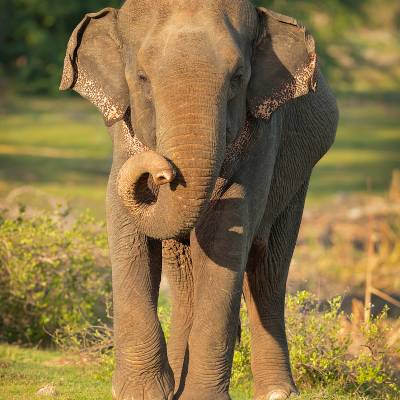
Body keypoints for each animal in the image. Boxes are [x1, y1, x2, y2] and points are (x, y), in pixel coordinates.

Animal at [61, 0, 340, 400]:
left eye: (238, 77)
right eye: (142, 78)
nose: (164, 174)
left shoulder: (263, 138)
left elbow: (225, 233)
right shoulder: (123, 136)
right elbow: (125, 224)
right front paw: (143, 392)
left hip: (298, 177)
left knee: (268, 269)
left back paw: (277, 393)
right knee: (184, 272)